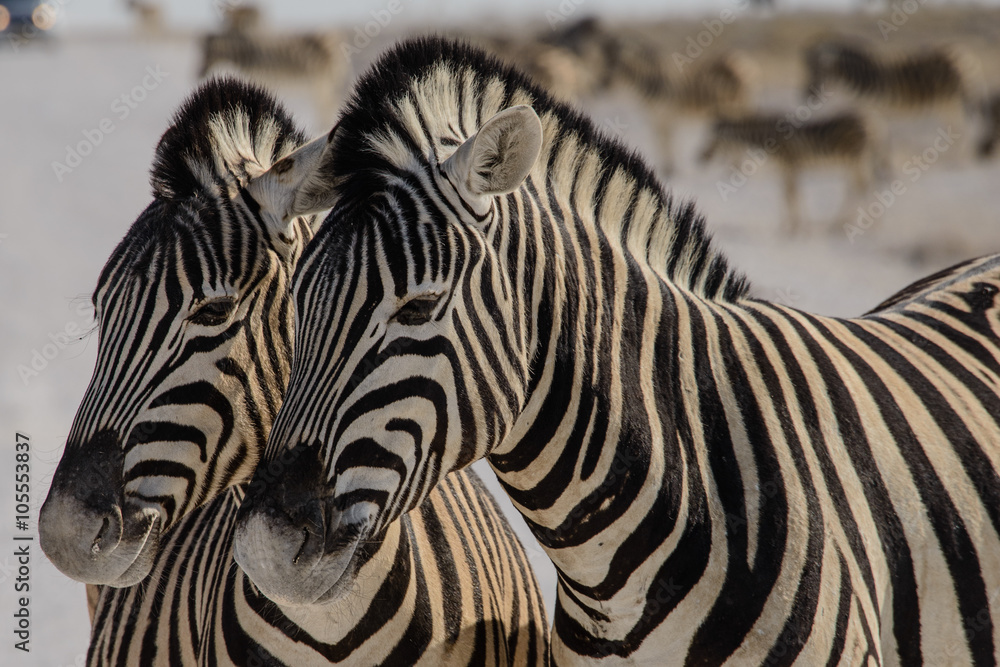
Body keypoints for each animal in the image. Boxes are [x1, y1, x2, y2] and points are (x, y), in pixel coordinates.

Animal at [699, 110, 890, 233]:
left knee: (863, 187)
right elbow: (790, 196)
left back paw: (867, 226)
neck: (767, 139)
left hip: (857, 160)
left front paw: (792, 228)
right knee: (860, 188)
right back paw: (844, 224)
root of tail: (871, 122)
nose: (700, 157)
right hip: (855, 163)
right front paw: (794, 226)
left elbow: (791, 196)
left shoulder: (790, 167)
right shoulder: (786, 170)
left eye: (713, 141)